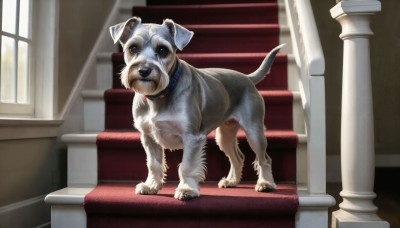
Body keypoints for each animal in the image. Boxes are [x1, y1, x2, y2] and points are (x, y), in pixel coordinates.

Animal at [109, 16, 284, 201]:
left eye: (163, 50)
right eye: (133, 47)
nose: (144, 70)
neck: (159, 96)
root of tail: (247, 78)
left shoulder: (192, 137)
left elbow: (186, 166)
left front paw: (187, 189)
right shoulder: (148, 137)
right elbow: (153, 164)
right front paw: (151, 186)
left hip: (254, 132)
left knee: (264, 159)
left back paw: (266, 183)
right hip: (225, 135)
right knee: (238, 157)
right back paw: (231, 181)